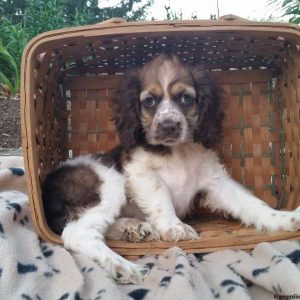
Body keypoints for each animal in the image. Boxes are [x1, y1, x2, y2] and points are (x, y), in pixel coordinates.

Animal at [42, 53, 300, 284]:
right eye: (149, 101)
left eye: (185, 98)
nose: (168, 126)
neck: (178, 152)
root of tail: (46, 189)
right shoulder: (139, 172)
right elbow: (161, 195)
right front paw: (175, 227)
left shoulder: (217, 181)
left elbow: (253, 205)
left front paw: (286, 219)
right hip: (109, 181)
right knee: (77, 233)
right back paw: (124, 266)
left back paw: (132, 228)